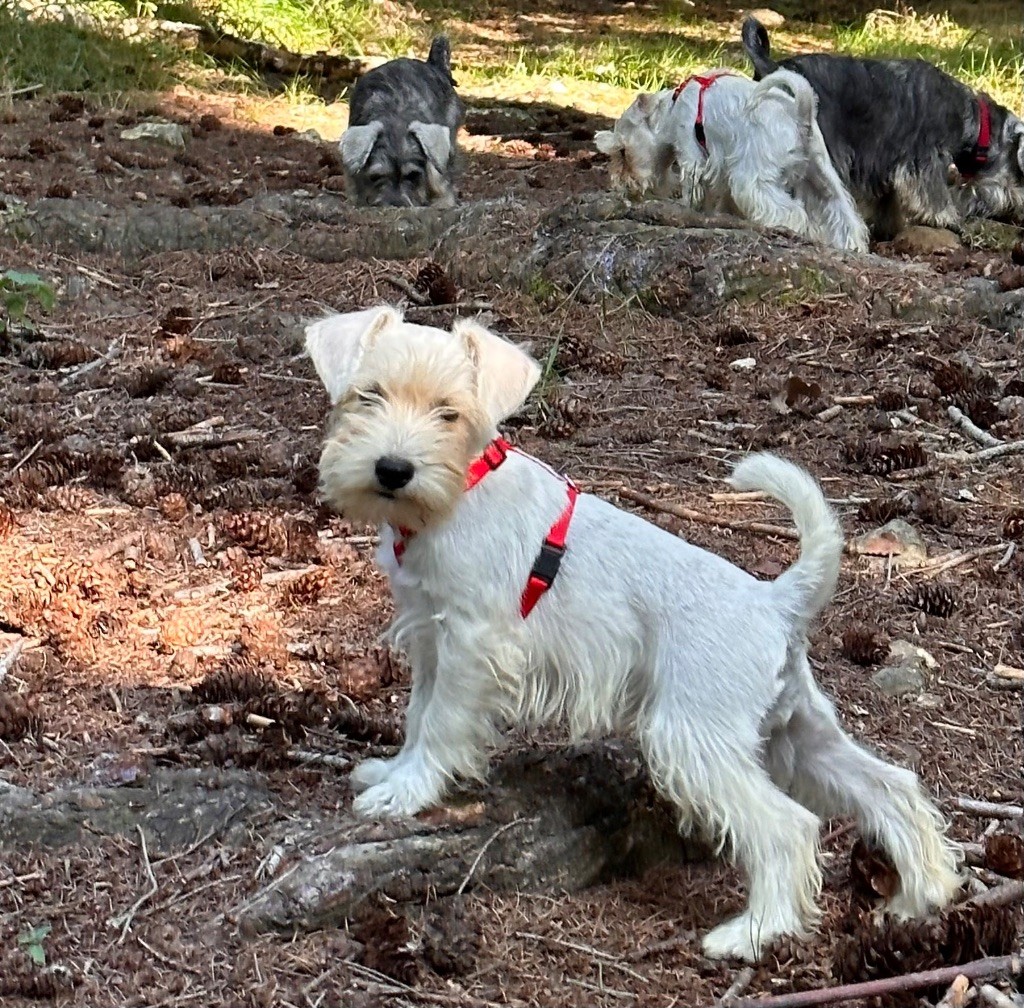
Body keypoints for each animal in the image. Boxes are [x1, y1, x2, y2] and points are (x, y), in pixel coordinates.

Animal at [303, 305, 958, 958]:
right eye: (369, 395)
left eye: (449, 412)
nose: (393, 470)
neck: (463, 488)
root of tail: (775, 600)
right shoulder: (430, 640)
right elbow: (418, 714)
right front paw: (393, 772)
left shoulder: (470, 646)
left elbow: (440, 724)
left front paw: (408, 792)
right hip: (799, 733)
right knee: (892, 788)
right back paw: (919, 898)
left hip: (691, 736)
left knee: (788, 828)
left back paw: (751, 933)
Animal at [598, 67, 868, 254]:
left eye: (623, 151)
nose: (619, 184)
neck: (671, 108)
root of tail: (800, 114)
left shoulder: (693, 158)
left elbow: (693, 192)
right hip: (821, 178)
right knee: (843, 216)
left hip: (754, 179)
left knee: (790, 212)